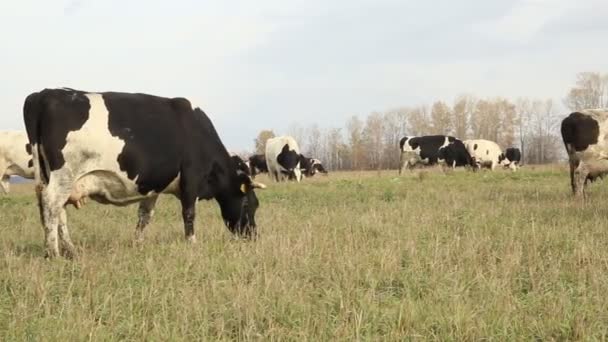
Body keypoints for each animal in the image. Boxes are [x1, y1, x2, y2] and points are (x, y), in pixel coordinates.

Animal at [23, 88, 266, 260]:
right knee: (52, 205)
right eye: (248, 204)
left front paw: (138, 244)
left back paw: (70, 250)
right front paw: (192, 244)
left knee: (58, 210)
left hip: (55, 177)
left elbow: (144, 217)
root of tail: (43, 94)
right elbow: (189, 214)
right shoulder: (191, 179)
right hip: (64, 174)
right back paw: (53, 253)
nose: (253, 236)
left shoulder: (153, 187)